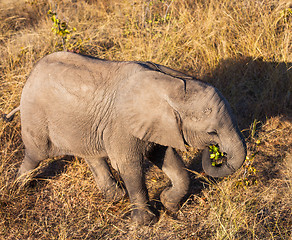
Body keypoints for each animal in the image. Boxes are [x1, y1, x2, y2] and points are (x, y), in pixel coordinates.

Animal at [4, 52, 246, 225]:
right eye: (212, 132)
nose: (216, 152)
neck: (171, 85)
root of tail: (30, 76)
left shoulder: (158, 126)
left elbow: (168, 158)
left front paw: (168, 203)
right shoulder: (122, 126)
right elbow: (129, 165)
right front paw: (146, 222)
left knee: (90, 154)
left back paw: (116, 197)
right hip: (36, 116)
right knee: (35, 154)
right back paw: (20, 187)